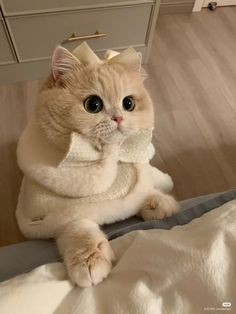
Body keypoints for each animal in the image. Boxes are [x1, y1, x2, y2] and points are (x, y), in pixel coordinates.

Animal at [16, 43, 179, 288]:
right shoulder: (66, 215)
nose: (119, 118)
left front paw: (158, 202)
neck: (111, 158)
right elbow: (81, 231)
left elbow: (142, 186)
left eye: (128, 103)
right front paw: (90, 262)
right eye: (93, 105)